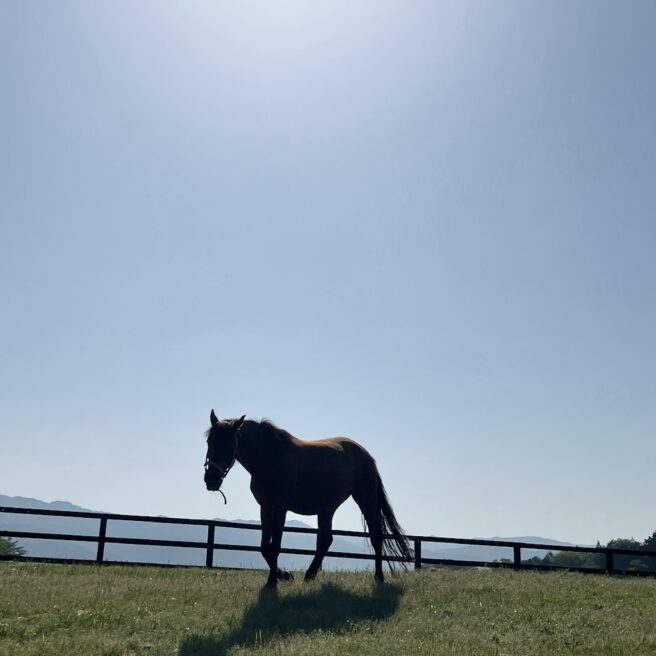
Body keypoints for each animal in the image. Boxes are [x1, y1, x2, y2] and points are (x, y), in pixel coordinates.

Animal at [203, 410, 412, 587]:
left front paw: (273, 581)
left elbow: (275, 546)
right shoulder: (265, 507)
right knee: (325, 540)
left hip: (365, 500)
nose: (211, 480)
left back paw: (379, 577)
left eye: (230, 444)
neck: (269, 457)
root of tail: (365, 453)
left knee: (376, 535)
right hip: (327, 509)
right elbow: (264, 547)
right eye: (209, 442)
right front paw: (283, 575)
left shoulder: (280, 508)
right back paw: (309, 575)